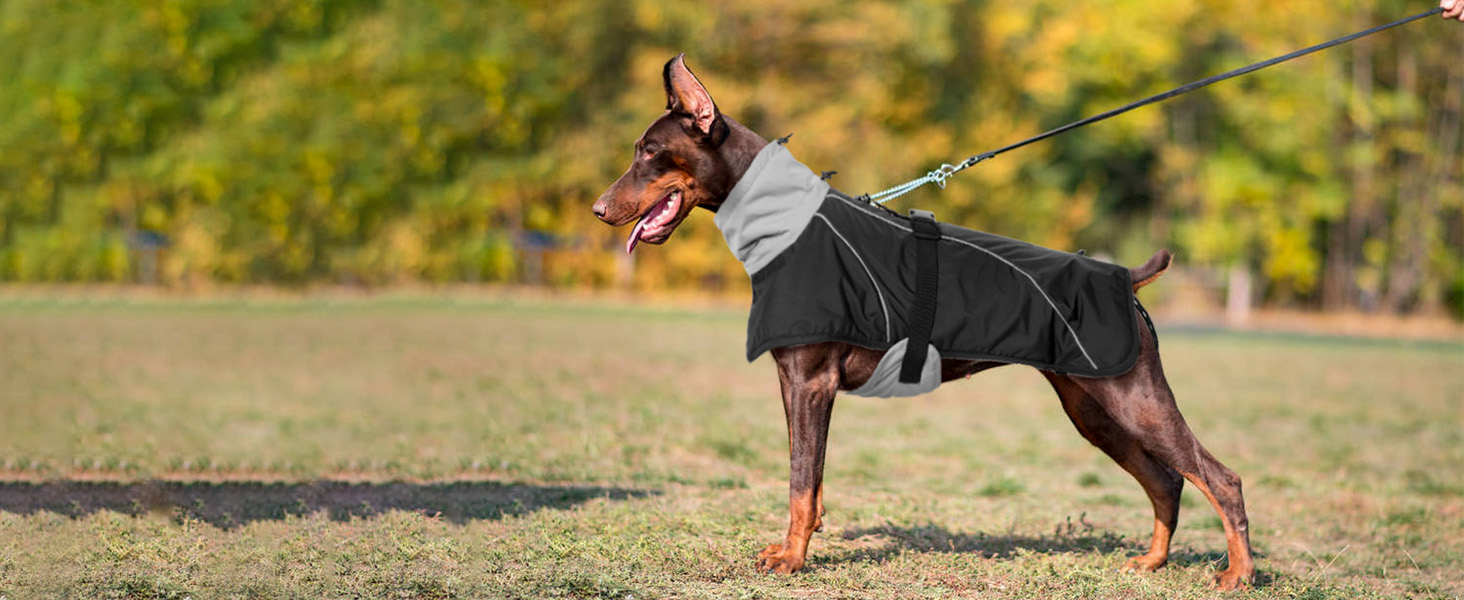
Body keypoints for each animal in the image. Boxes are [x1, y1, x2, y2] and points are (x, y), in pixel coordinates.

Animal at [588, 56, 1253, 591]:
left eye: (649, 152)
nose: (597, 209)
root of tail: (1125, 278)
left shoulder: (810, 381)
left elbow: (800, 478)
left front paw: (792, 561)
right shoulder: (794, 381)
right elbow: (811, 476)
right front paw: (795, 544)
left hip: (1135, 398)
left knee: (1221, 478)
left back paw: (1239, 573)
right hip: (1091, 409)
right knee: (1166, 481)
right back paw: (1151, 562)